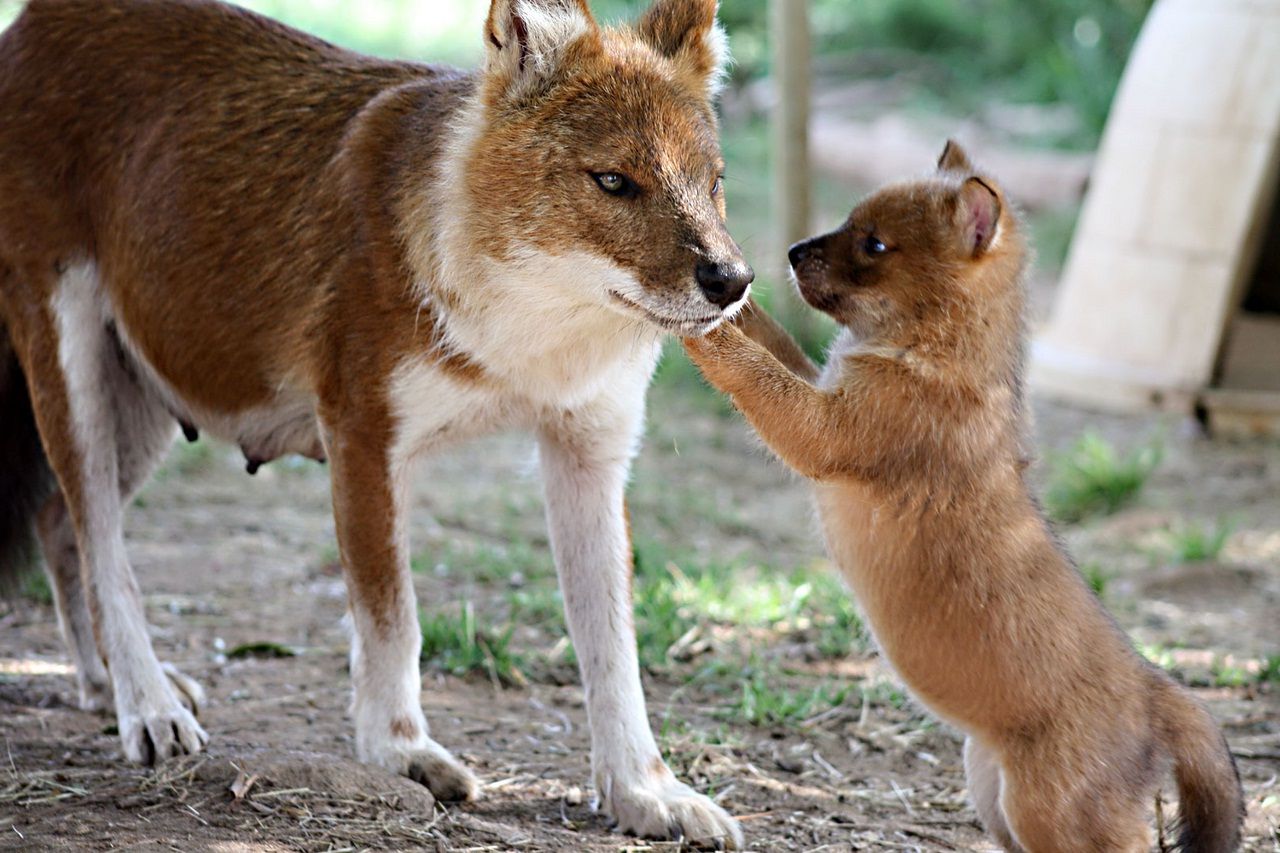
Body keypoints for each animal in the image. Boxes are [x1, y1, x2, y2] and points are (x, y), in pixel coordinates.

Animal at [0, 0, 747, 835]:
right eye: (615, 181)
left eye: (714, 183)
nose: (733, 280)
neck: (523, 335)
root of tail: (36, 20)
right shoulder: (362, 437)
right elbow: (393, 616)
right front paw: (399, 750)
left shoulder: (590, 450)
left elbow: (612, 644)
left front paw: (645, 790)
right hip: (69, 360)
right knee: (102, 545)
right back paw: (149, 706)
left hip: (154, 391)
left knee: (59, 526)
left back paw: (105, 684)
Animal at [686, 142, 1244, 845]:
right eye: (849, 222)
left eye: (874, 243)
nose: (790, 251)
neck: (938, 349)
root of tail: (1155, 688)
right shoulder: (825, 385)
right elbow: (775, 343)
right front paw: (730, 301)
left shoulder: (825, 432)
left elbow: (758, 372)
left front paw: (707, 333)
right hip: (988, 786)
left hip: (1045, 811)